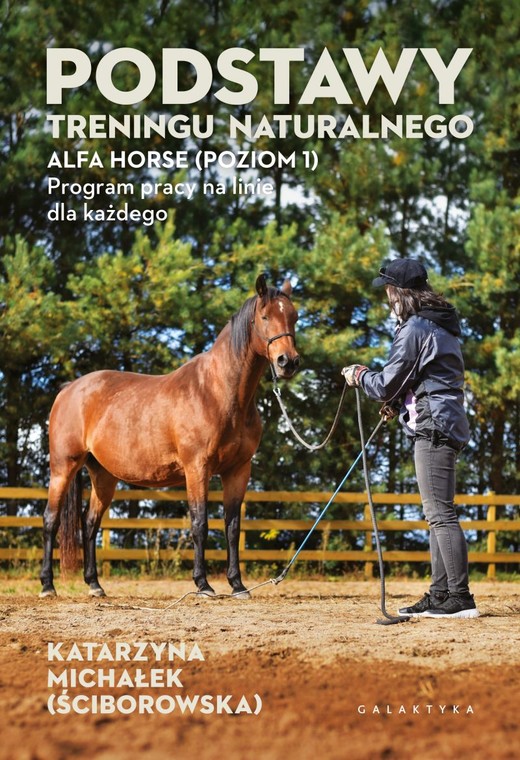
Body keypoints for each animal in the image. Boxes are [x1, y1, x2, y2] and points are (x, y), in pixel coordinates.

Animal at [39, 274, 300, 599]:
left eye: (294, 317)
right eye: (265, 317)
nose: (288, 361)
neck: (217, 392)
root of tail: (69, 389)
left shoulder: (238, 470)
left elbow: (232, 526)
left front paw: (238, 585)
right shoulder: (197, 468)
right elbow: (200, 523)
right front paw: (203, 585)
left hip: (103, 475)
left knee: (89, 523)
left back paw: (95, 585)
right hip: (63, 468)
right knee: (50, 520)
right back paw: (48, 585)